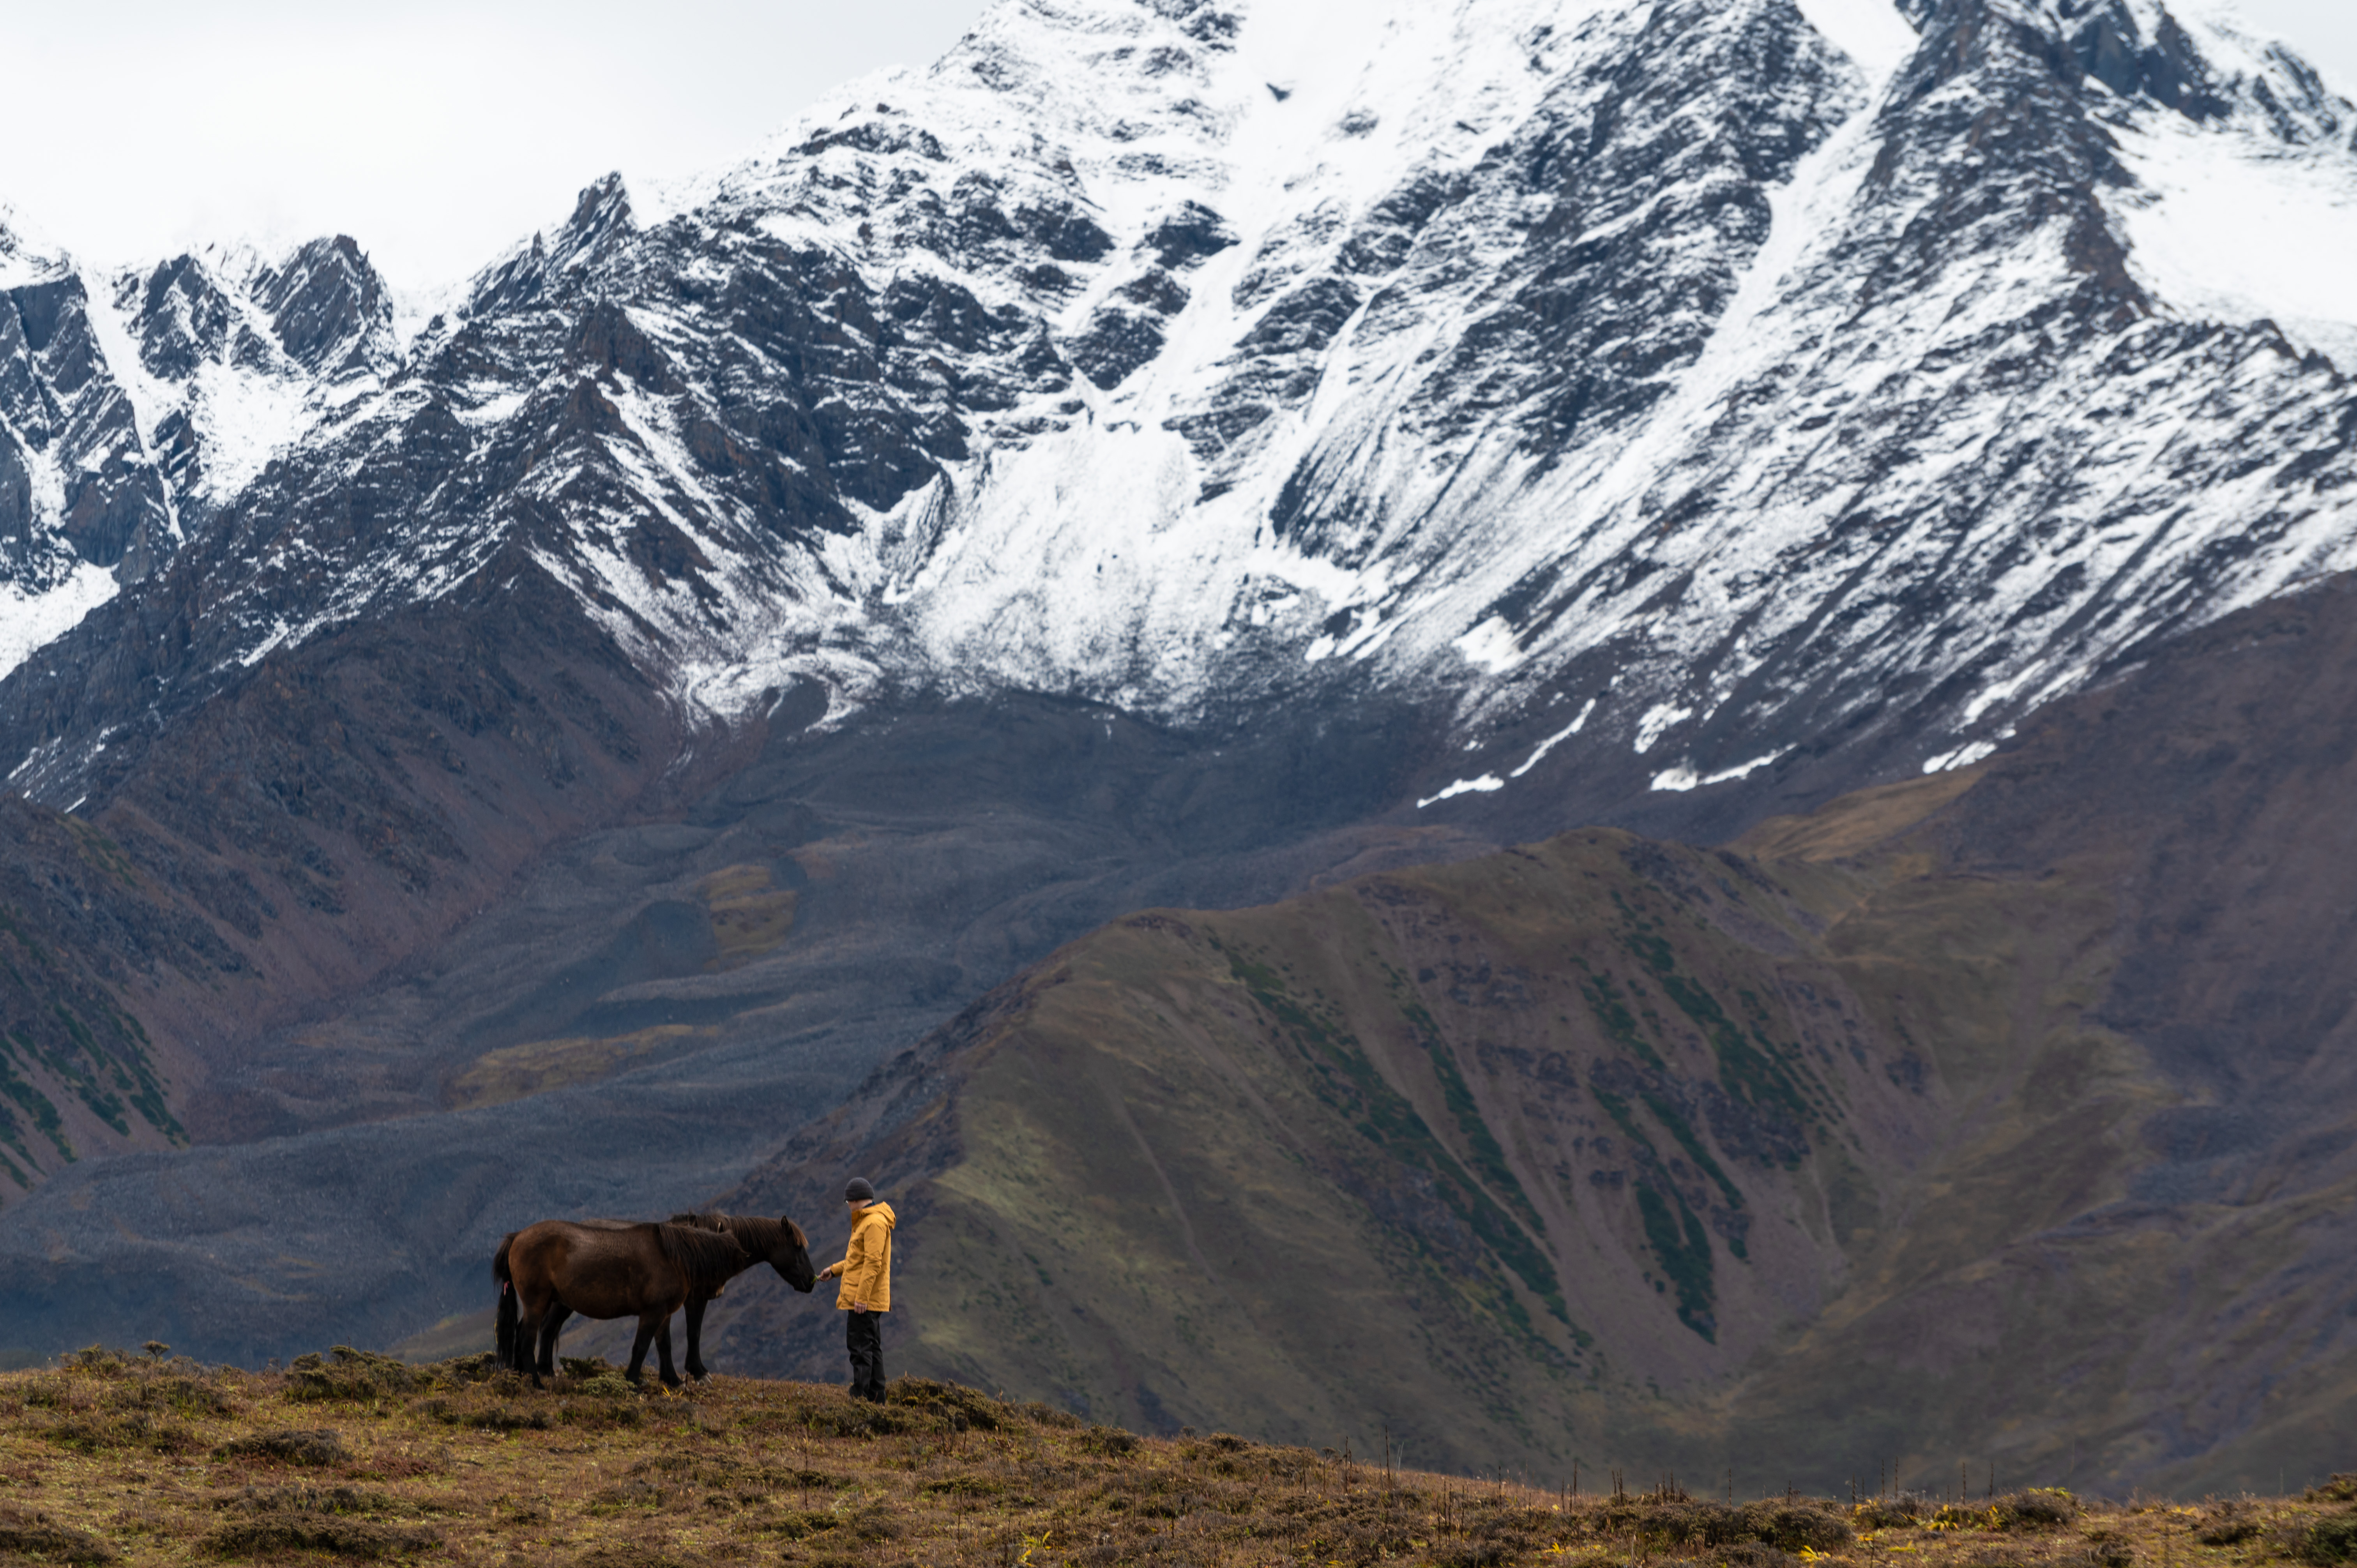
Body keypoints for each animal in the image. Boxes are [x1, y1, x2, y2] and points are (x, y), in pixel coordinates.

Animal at [495, 1226, 745, 1386]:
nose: (717, 1294)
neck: (672, 1257)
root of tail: (517, 1237)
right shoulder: (652, 1313)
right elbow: (641, 1346)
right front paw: (633, 1380)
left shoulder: (664, 1314)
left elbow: (665, 1345)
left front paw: (672, 1381)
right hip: (537, 1301)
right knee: (527, 1337)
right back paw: (536, 1383)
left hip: (545, 1302)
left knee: (522, 1331)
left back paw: (520, 1376)